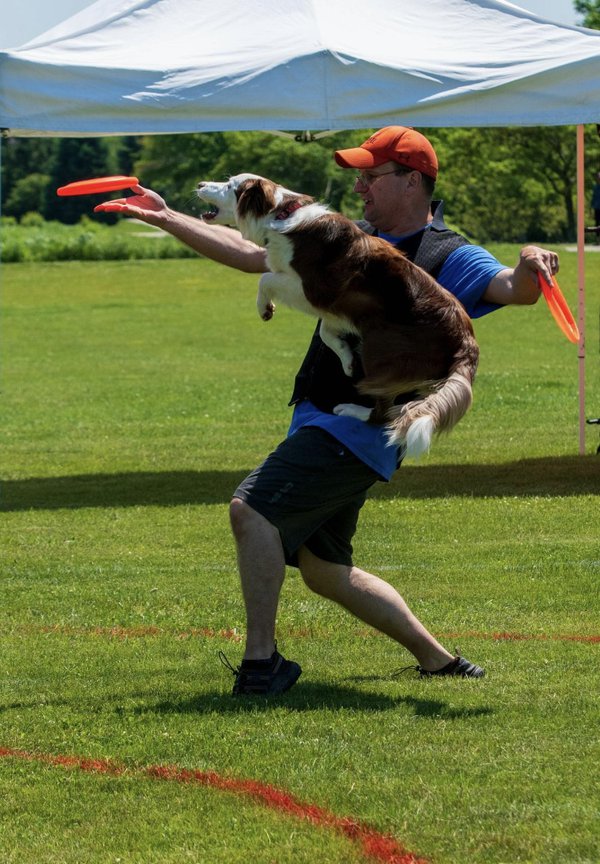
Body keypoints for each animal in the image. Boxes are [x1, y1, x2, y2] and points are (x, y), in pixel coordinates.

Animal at [199, 176, 480, 460]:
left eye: (230, 186)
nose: (200, 184)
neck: (279, 214)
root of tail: (466, 341)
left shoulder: (314, 290)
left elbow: (266, 278)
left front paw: (264, 308)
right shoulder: (338, 307)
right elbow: (326, 332)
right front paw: (346, 359)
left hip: (382, 347)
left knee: (383, 413)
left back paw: (351, 410)